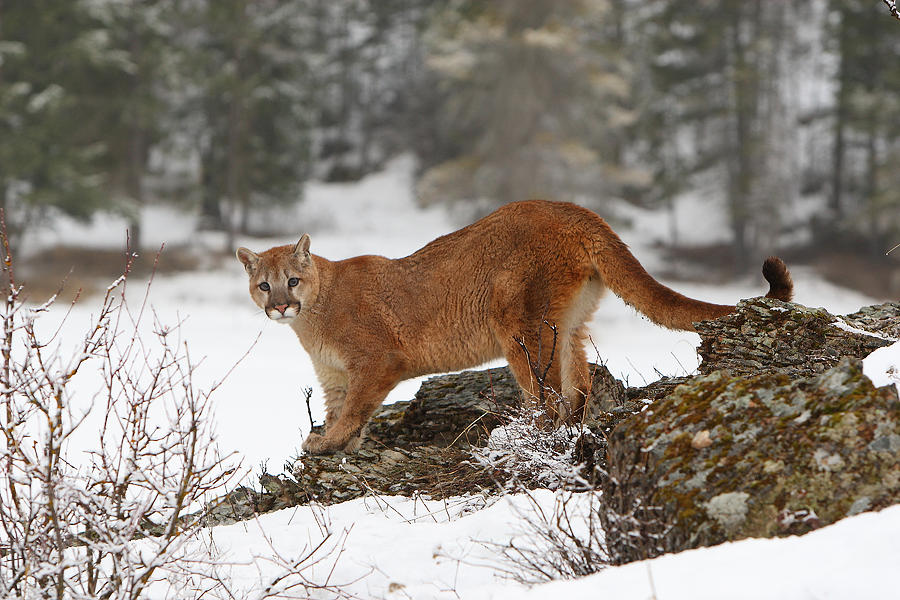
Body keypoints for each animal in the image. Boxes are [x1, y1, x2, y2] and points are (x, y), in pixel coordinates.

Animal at [236, 199, 792, 452]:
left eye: (292, 280)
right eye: (264, 285)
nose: (280, 306)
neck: (314, 316)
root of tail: (573, 209)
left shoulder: (376, 361)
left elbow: (354, 408)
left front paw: (328, 442)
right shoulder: (334, 375)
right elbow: (340, 407)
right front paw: (338, 443)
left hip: (519, 324)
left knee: (545, 394)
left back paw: (522, 436)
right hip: (566, 322)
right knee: (578, 382)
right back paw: (571, 425)